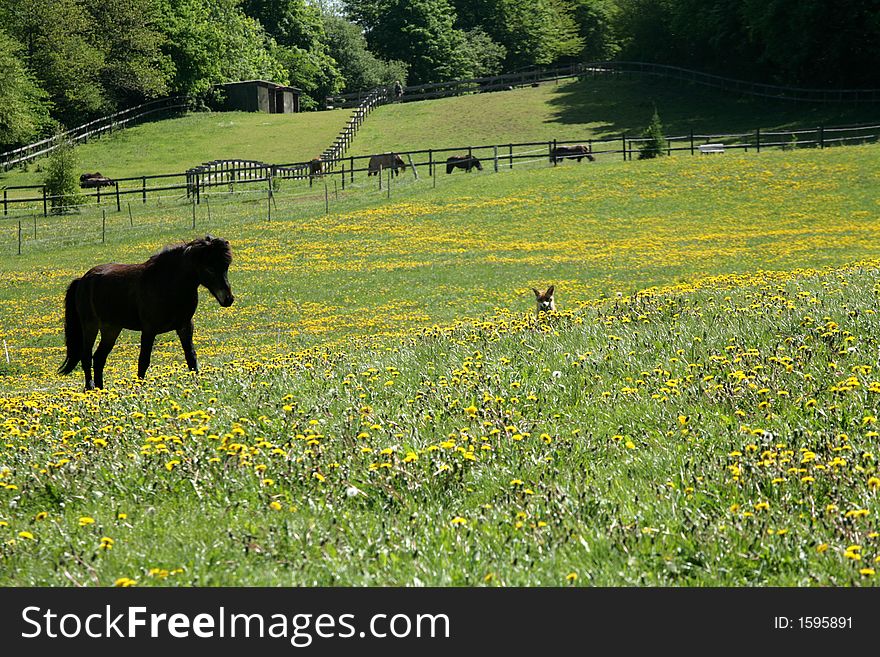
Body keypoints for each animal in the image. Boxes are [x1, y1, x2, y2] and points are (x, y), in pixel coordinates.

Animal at [59, 236, 235, 390]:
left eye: (226, 266)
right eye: (210, 268)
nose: (228, 299)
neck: (167, 284)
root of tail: (83, 279)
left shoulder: (184, 327)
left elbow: (191, 357)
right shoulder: (149, 330)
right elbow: (143, 361)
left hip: (111, 328)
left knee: (99, 358)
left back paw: (101, 390)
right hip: (90, 326)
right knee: (87, 357)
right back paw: (90, 389)